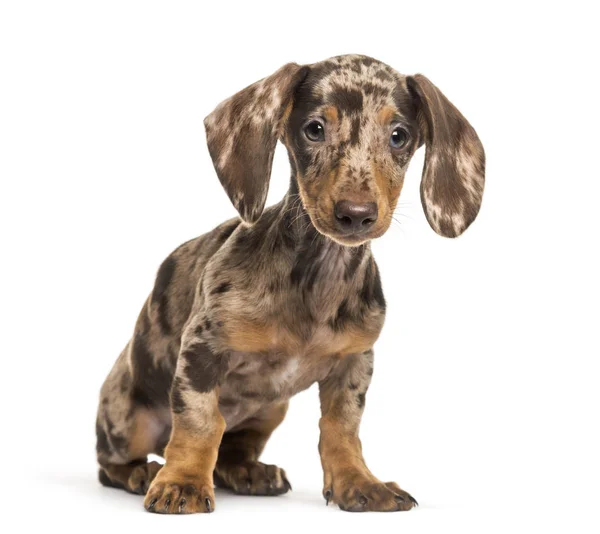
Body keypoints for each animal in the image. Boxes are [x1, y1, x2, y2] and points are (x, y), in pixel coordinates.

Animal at [96, 54, 486, 516]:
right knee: (112, 462)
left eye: (399, 136)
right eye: (314, 129)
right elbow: (199, 422)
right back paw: (143, 472)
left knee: (232, 450)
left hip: (270, 410)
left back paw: (250, 472)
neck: (318, 281)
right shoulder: (201, 350)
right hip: (128, 417)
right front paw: (184, 483)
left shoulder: (355, 363)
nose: (355, 214)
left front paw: (359, 482)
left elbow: (341, 428)